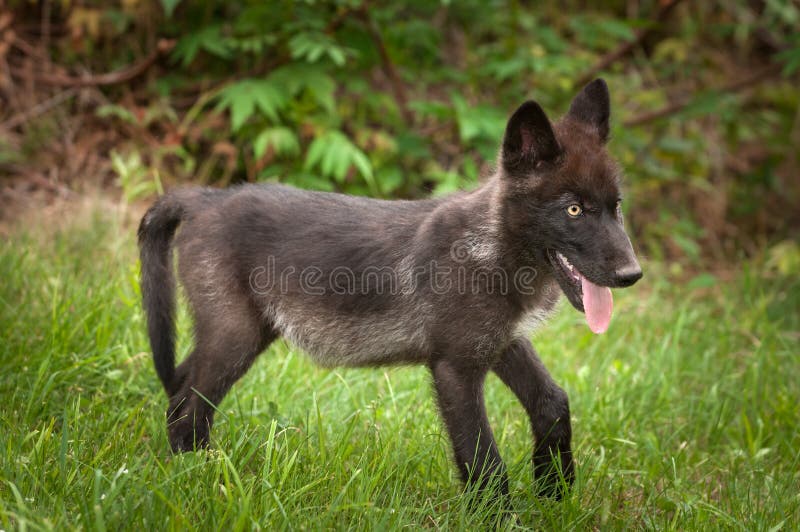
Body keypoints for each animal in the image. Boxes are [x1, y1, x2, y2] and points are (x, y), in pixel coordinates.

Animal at [138, 79, 642, 500]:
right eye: (574, 209)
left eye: (616, 207)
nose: (632, 275)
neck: (490, 247)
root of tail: (205, 198)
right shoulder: (456, 369)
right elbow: (484, 462)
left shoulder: (504, 344)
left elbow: (553, 403)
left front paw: (555, 495)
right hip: (234, 336)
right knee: (188, 404)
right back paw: (197, 478)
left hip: (243, 335)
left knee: (181, 391)